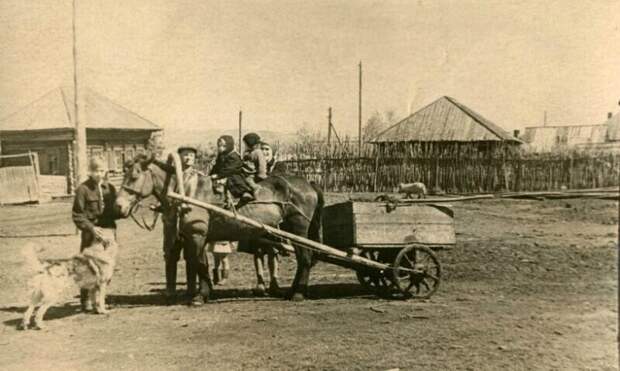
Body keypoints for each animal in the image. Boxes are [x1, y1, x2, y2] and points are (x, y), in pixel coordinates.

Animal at [114, 154, 324, 302]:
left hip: (298, 228)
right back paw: (292, 291)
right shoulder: (198, 237)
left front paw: (199, 297)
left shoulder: (197, 235)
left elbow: (198, 264)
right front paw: (205, 292)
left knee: (305, 258)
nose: (118, 206)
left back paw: (298, 293)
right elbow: (202, 264)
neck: (188, 193)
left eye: (134, 176)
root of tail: (308, 183)